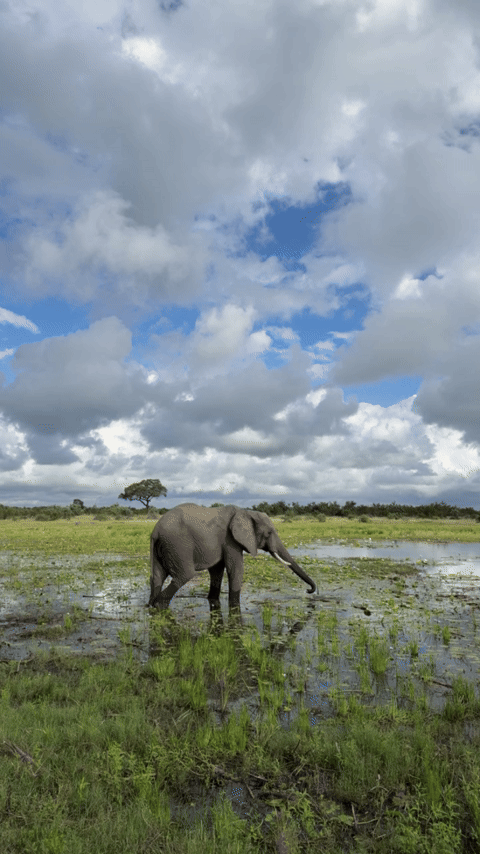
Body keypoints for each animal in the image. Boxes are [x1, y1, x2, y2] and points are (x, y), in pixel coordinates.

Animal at [148, 503, 317, 610]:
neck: (246, 512)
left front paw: (213, 601)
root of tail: (156, 530)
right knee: (184, 575)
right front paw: (235, 606)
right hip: (178, 545)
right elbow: (236, 569)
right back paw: (159, 606)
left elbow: (217, 571)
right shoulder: (230, 540)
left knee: (157, 576)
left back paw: (150, 606)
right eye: (269, 533)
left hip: (162, 547)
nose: (308, 591)